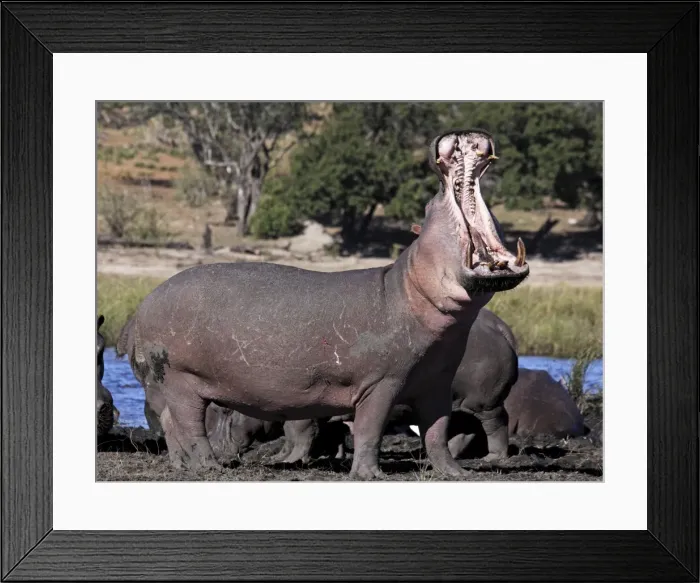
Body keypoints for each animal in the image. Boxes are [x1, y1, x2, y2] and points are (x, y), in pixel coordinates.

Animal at [116, 129, 530, 479]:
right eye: (429, 207)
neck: (411, 287)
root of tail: (140, 307)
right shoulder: (381, 382)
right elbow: (370, 428)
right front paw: (369, 475)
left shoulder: (436, 383)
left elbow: (438, 431)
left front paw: (454, 473)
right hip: (181, 380)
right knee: (189, 424)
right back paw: (209, 467)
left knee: (171, 424)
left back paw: (184, 467)